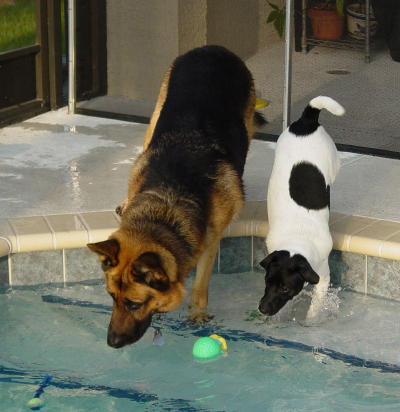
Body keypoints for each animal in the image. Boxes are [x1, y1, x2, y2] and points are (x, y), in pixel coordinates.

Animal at [88, 45, 264, 348]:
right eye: (112, 297)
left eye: (134, 304)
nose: (112, 342)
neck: (165, 205)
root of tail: (214, 48)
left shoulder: (209, 242)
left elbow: (200, 284)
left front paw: (197, 314)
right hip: (155, 115)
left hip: (247, 122)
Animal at [260, 96, 344, 318]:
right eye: (267, 281)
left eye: (285, 288)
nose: (262, 309)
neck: (298, 236)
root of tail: (307, 121)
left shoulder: (323, 275)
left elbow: (316, 303)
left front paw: (311, 318)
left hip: (333, 162)